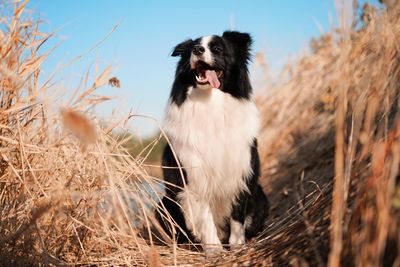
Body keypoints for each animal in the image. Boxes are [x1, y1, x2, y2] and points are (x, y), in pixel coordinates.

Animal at [156, 30, 268, 256]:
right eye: (193, 48)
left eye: (217, 48)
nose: (198, 50)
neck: (211, 103)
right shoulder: (195, 177)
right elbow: (205, 218)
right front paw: (214, 251)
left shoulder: (240, 172)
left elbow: (237, 217)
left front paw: (237, 246)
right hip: (163, 205)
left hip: (261, 196)